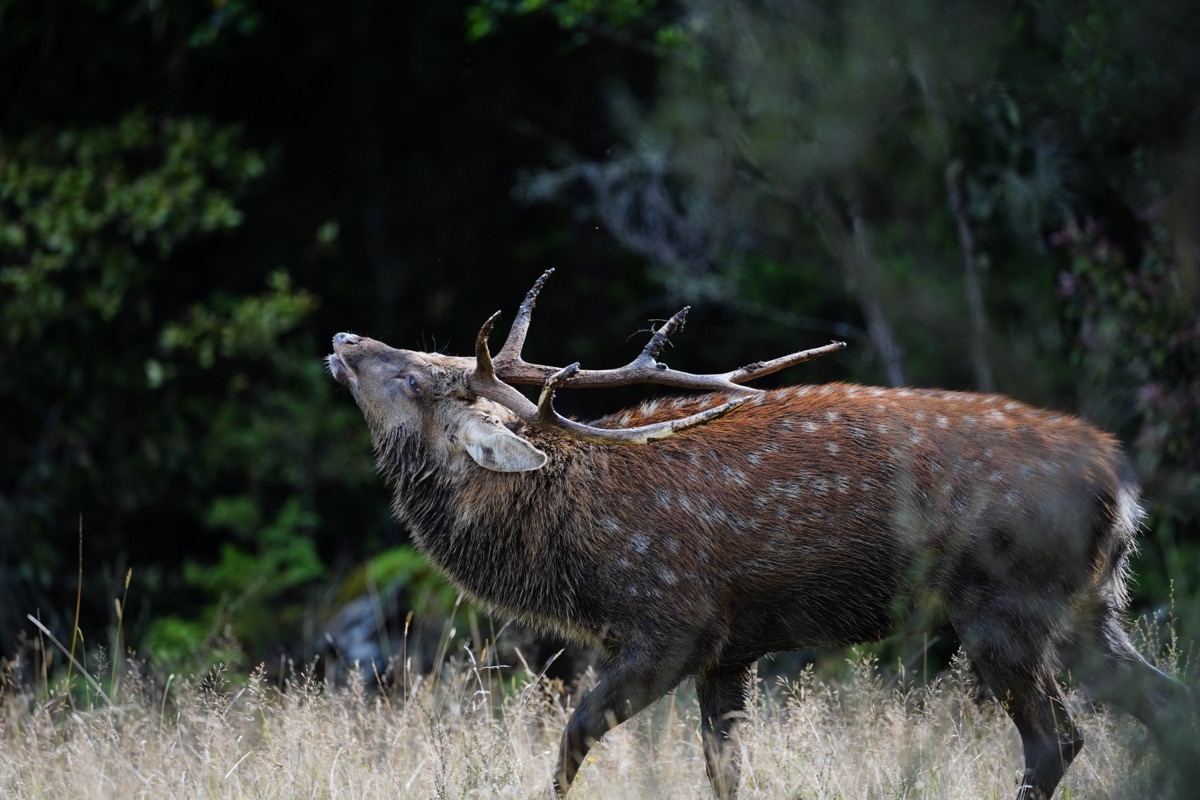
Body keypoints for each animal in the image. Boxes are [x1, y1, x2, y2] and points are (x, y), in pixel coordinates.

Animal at [327, 269, 1191, 800]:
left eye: (417, 377)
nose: (344, 340)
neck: (567, 551)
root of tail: (1121, 482)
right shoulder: (729, 650)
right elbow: (725, 771)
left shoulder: (673, 623)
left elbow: (573, 737)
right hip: (1090, 607)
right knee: (1163, 705)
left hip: (1002, 604)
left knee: (1055, 741)